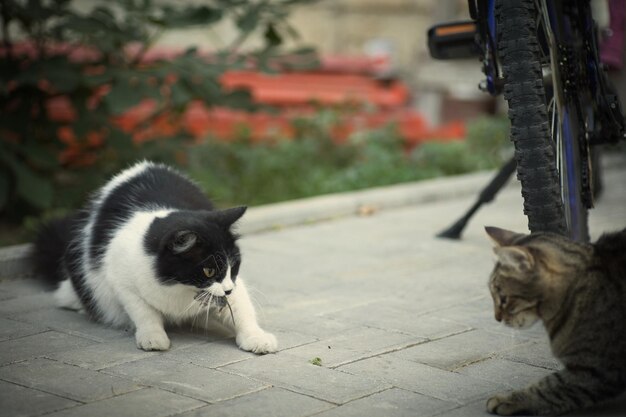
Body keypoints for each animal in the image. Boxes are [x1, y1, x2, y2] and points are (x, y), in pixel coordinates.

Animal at [33, 161, 276, 352]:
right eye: (208, 270)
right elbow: (144, 312)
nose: (227, 289)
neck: (180, 289)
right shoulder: (123, 282)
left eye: (233, 266)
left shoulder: (233, 288)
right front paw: (152, 337)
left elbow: (242, 309)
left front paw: (256, 337)